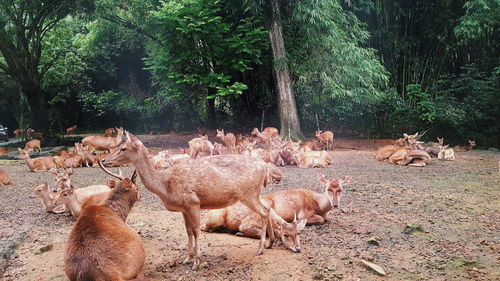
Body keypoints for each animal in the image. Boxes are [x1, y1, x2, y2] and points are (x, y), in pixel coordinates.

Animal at [102, 131, 278, 270]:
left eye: (123, 148)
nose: (103, 160)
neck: (165, 185)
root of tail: (264, 167)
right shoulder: (184, 208)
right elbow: (188, 231)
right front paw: (187, 259)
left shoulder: (193, 202)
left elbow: (196, 231)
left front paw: (197, 262)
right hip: (254, 193)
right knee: (267, 208)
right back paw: (270, 243)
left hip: (248, 193)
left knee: (264, 212)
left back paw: (260, 249)